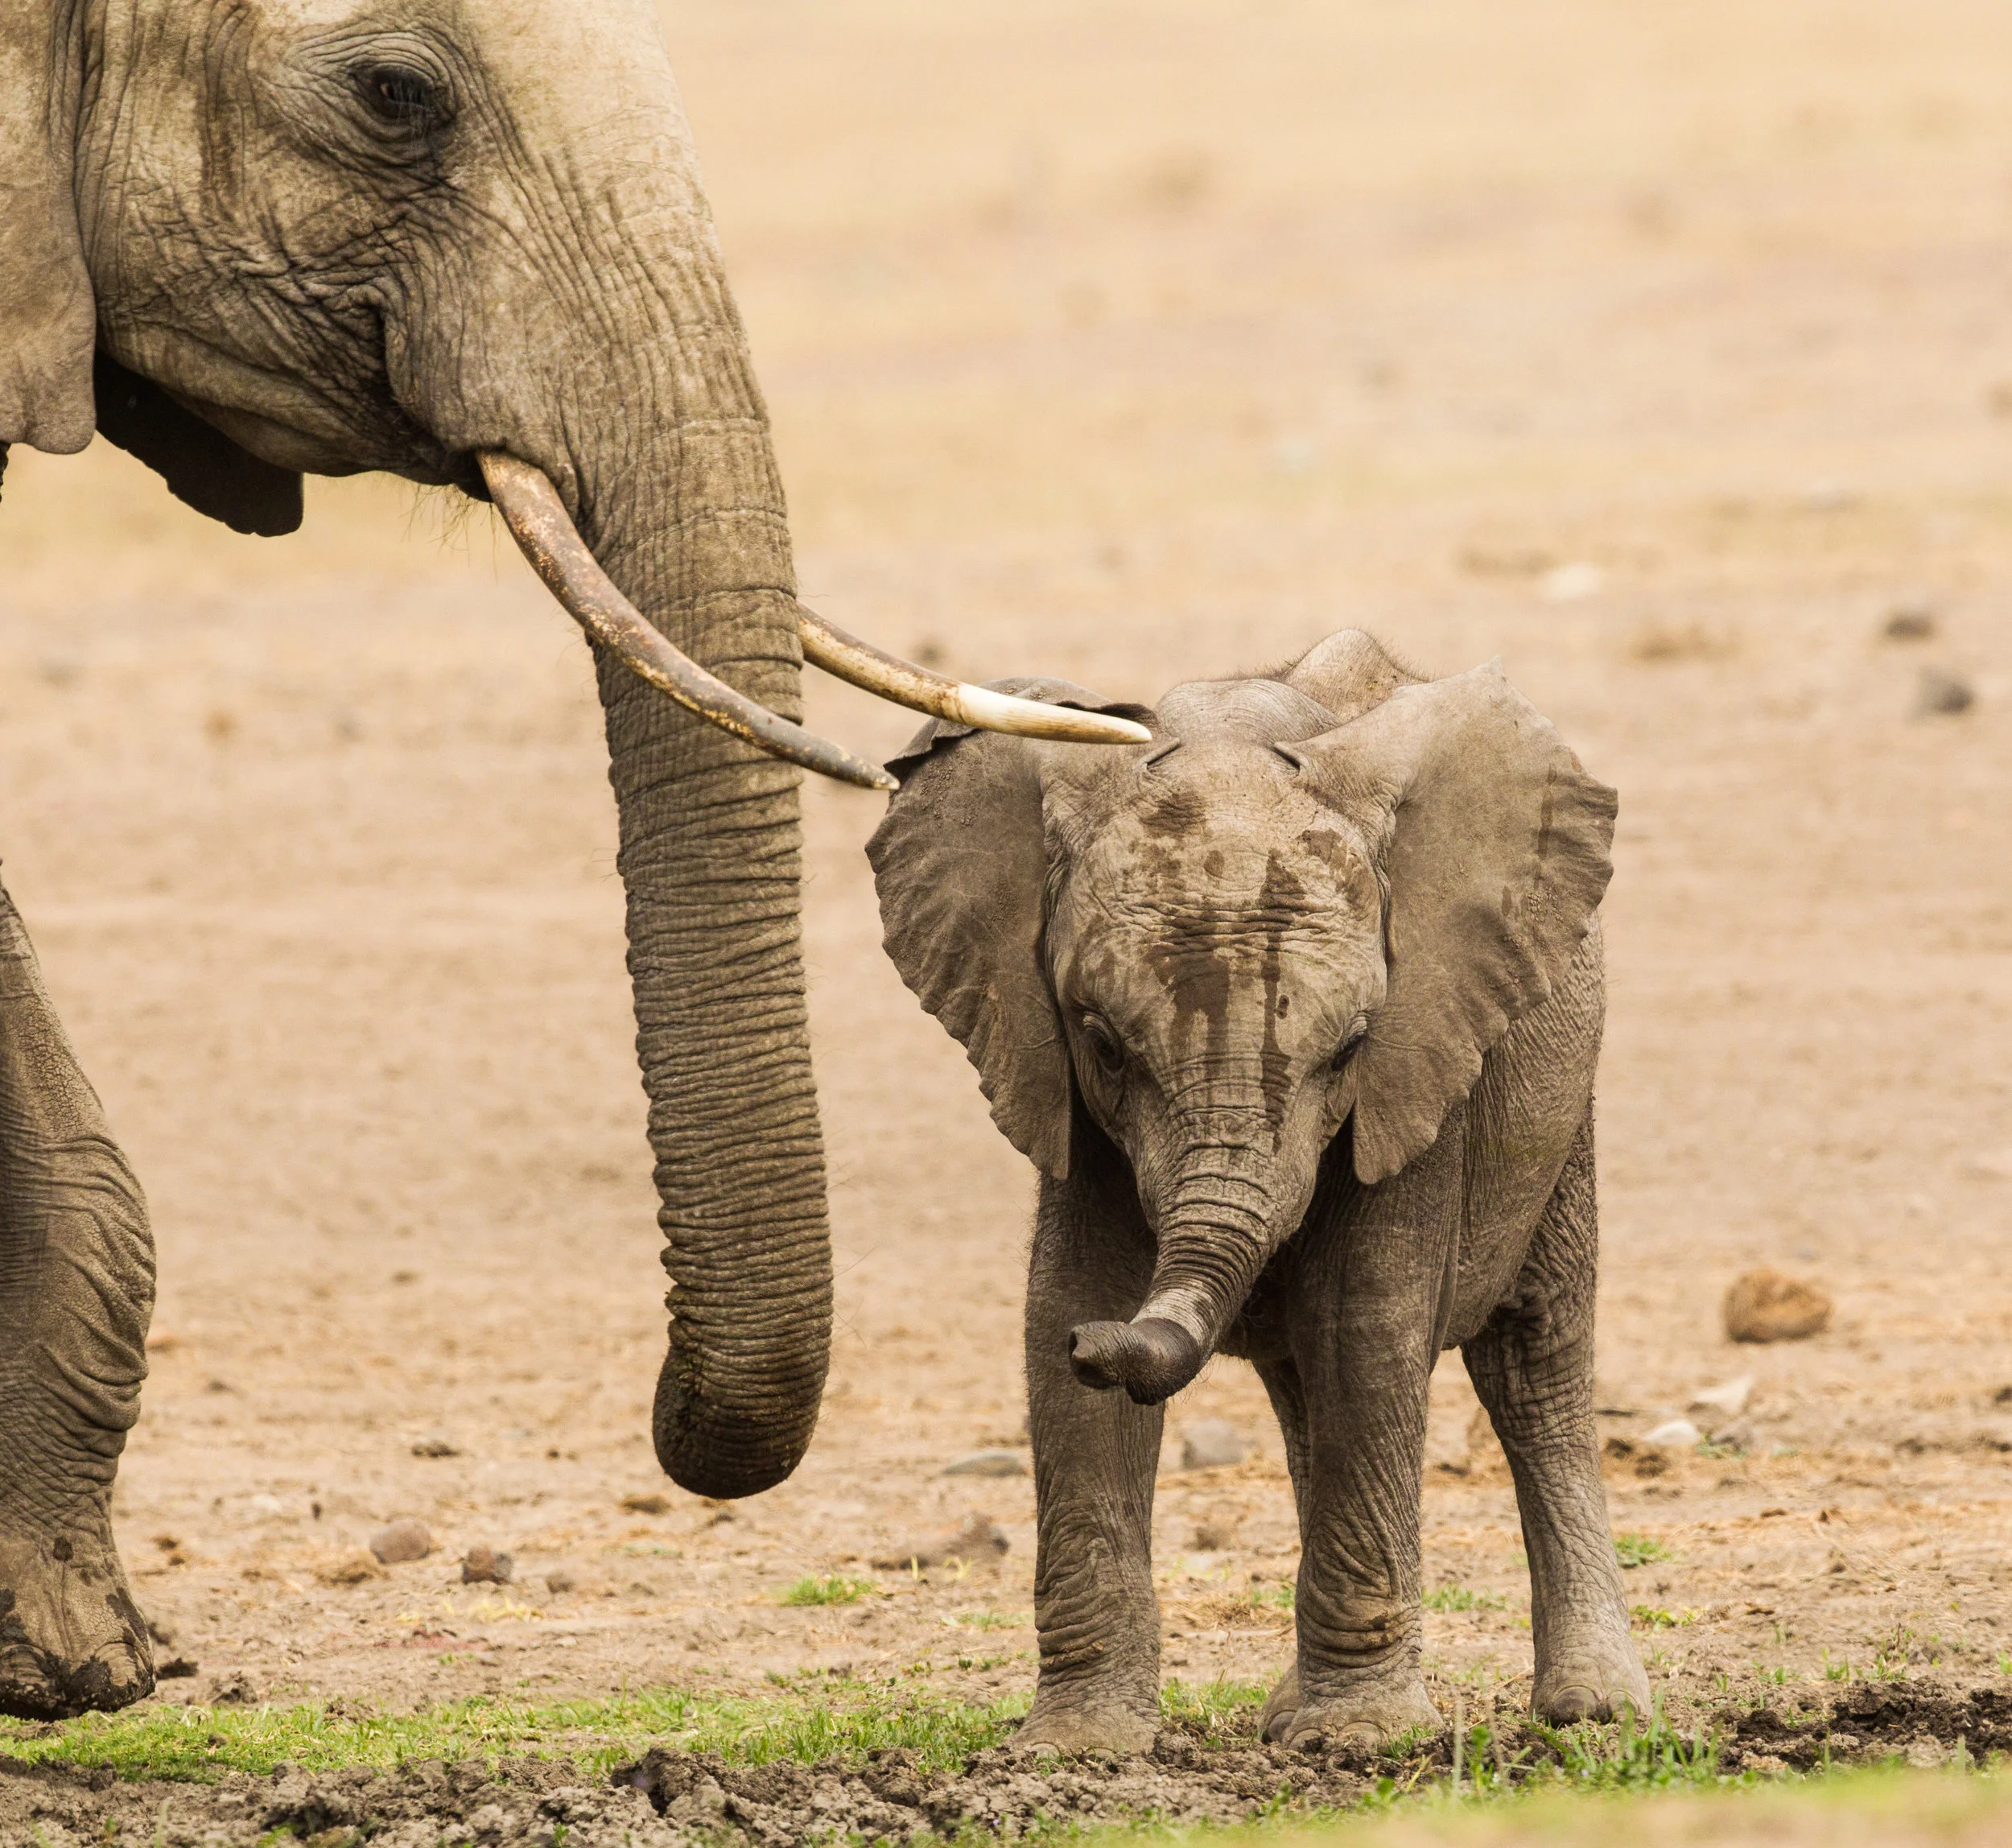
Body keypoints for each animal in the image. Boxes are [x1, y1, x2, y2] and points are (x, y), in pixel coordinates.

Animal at [868, 628, 1650, 1752]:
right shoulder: (1059, 1082)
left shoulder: (1424, 1053)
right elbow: (1063, 1298)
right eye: (1104, 1045)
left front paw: (1359, 1740)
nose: (1103, 1349)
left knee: (1528, 1359)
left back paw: (1593, 1712)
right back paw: (1291, 1711)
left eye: (1352, 1047)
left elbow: (1367, 1320)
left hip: (1557, 1087)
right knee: (1301, 1386)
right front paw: (1078, 1749)